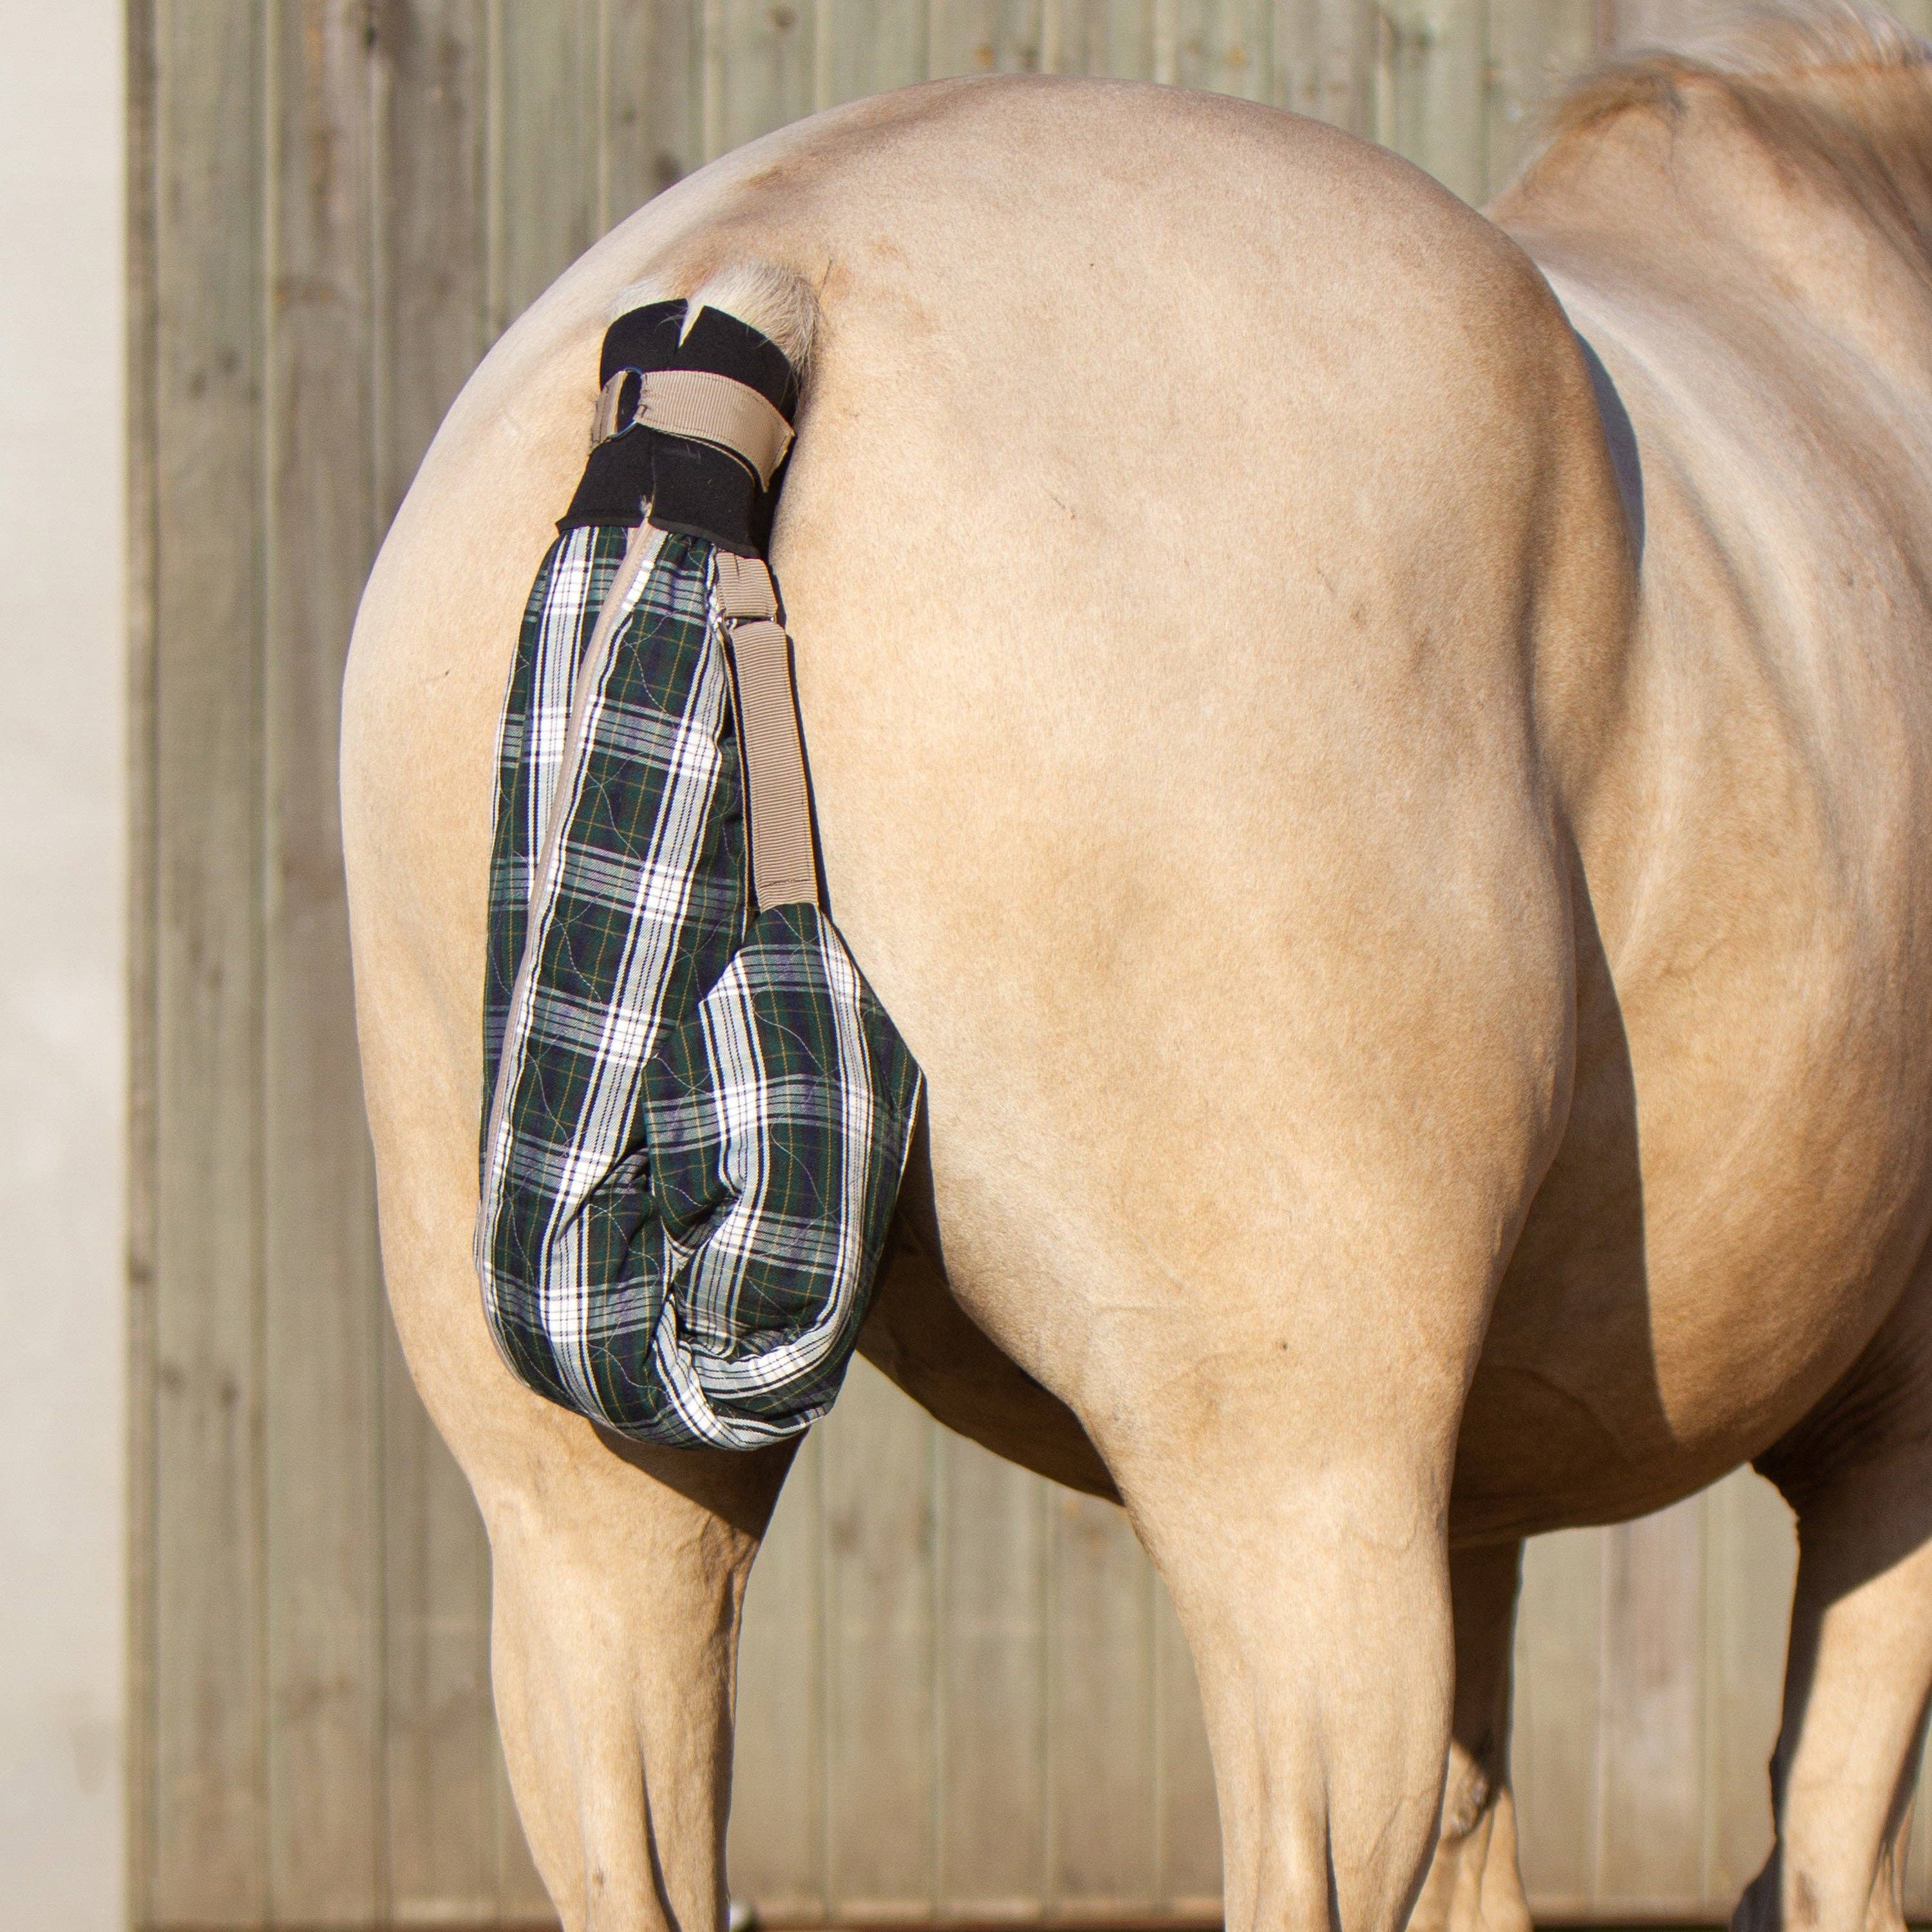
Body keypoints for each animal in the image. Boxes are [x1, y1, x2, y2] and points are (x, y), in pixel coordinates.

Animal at [340, 7, 1932, 1929]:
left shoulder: (1482, 1493)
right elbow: (1826, 1845)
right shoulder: (1891, 1440)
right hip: (1299, 1490)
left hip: (581, 1502)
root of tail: (753, 284)